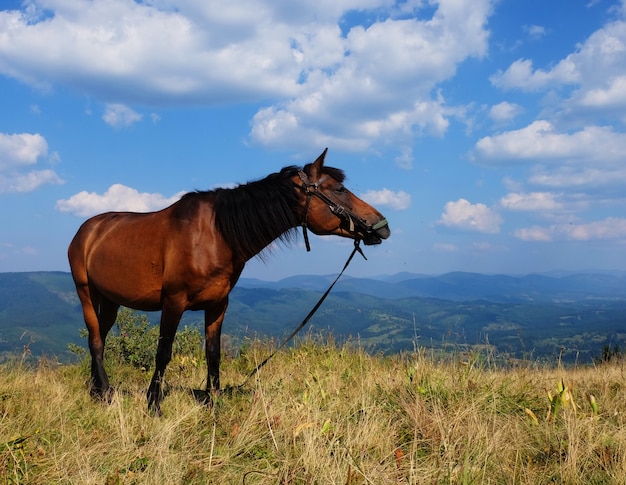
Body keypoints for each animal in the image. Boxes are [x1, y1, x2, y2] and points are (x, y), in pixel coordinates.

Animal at [69, 148, 390, 412]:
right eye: (339, 188)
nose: (382, 226)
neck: (216, 234)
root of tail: (88, 229)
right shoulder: (173, 303)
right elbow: (163, 353)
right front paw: (154, 404)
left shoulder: (218, 305)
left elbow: (213, 354)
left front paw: (214, 403)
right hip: (86, 293)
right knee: (96, 341)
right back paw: (105, 393)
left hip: (110, 301)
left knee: (99, 337)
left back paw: (96, 390)